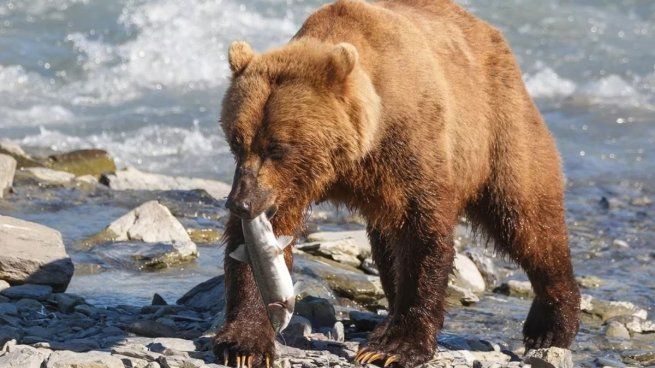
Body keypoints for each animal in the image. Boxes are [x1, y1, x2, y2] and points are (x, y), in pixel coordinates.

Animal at [214, 0, 580, 366]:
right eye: (236, 141)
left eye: (277, 147)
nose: (241, 202)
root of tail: (491, 33)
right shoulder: (292, 184)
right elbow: (259, 243)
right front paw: (245, 343)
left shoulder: (411, 145)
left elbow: (422, 237)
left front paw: (394, 346)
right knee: (387, 246)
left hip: (500, 129)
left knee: (527, 220)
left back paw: (549, 327)